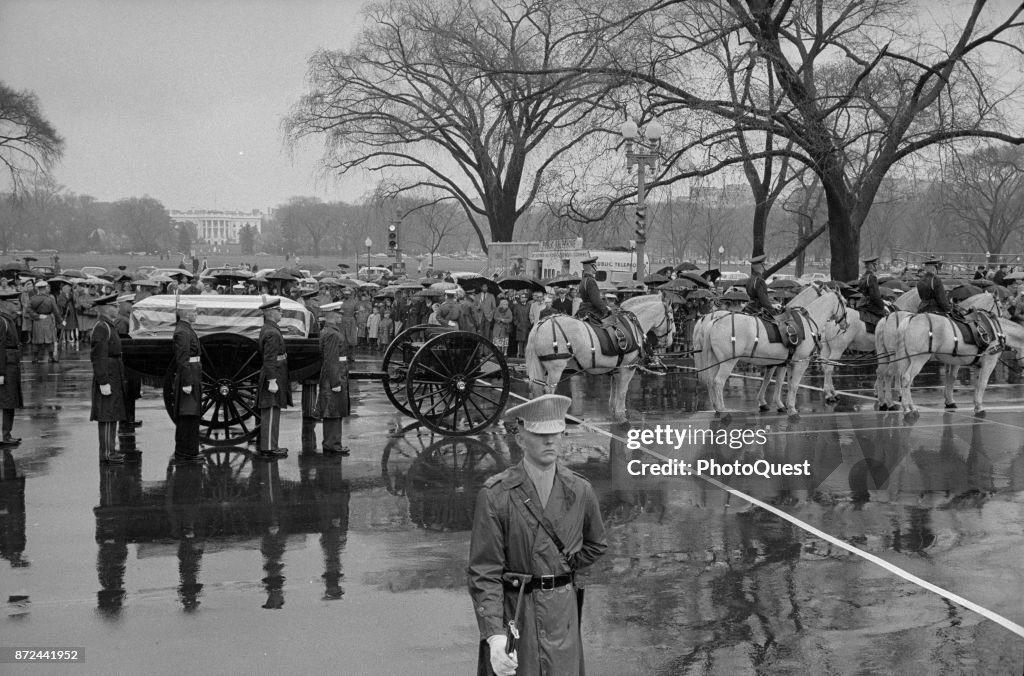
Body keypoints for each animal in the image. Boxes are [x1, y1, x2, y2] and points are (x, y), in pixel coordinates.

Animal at [528, 294, 671, 421]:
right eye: (671, 318)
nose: (669, 342)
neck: (633, 326)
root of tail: (540, 324)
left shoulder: (617, 369)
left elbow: (614, 394)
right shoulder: (628, 368)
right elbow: (622, 393)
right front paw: (621, 415)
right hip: (556, 368)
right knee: (548, 390)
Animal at [696, 290, 847, 417]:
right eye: (845, 303)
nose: (846, 324)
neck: (806, 323)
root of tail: (715, 321)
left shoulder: (785, 363)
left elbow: (781, 382)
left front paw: (782, 405)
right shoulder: (801, 363)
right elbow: (793, 385)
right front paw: (791, 409)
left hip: (715, 360)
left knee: (711, 381)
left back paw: (716, 407)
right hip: (728, 362)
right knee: (718, 382)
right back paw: (721, 409)